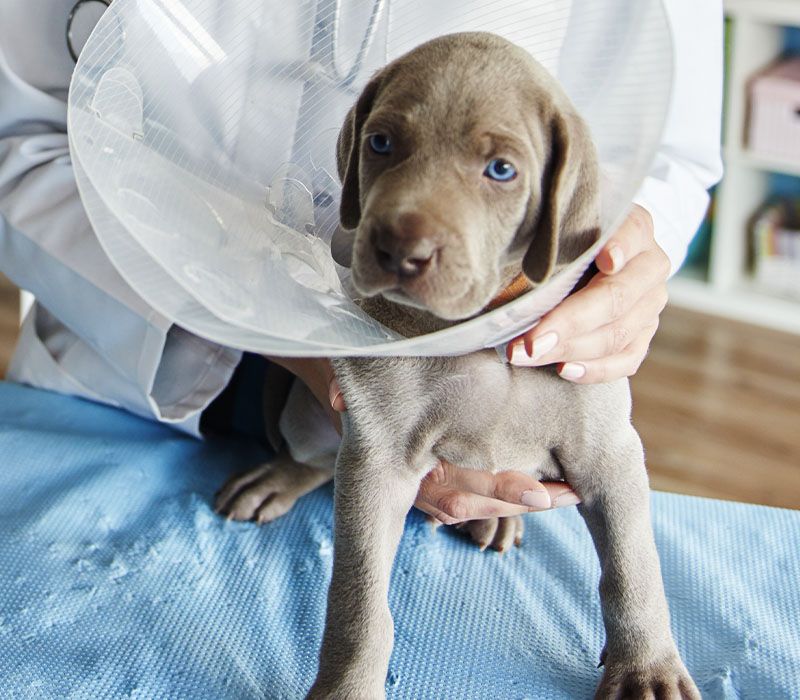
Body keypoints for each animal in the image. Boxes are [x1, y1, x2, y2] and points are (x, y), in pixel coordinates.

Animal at [214, 30, 700, 696]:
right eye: (381, 143)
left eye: (501, 170)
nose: (400, 250)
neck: (480, 329)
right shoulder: (379, 456)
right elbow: (359, 602)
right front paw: (348, 685)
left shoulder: (610, 452)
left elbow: (634, 568)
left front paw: (648, 669)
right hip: (313, 423)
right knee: (315, 458)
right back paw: (277, 477)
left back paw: (502, 522)